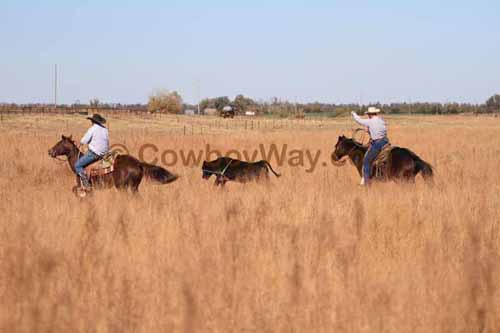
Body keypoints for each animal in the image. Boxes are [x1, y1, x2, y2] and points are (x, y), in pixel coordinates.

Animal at [48, 134, 178, 193]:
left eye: (59, 143)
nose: (50, 151)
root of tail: (138, 163)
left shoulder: (83, 185)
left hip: (123, 187)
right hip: (134, 187)